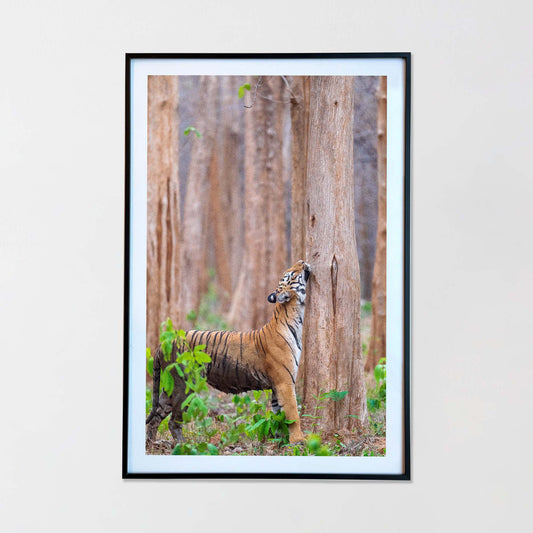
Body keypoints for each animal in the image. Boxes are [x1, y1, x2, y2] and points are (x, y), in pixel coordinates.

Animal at [145, 258, 312, 444]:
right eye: (291, 274)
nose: (302, 260)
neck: (292, 316)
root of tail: (166, 342)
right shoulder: (284, 382)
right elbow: (293, 412)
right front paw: (298, 440)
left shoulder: (277, 386)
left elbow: (278, 415)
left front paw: (278, 441)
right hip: (185, 385)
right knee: (173, 421)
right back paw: (182, 446)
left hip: (170, 387)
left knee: (156, 416)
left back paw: (151, 444)